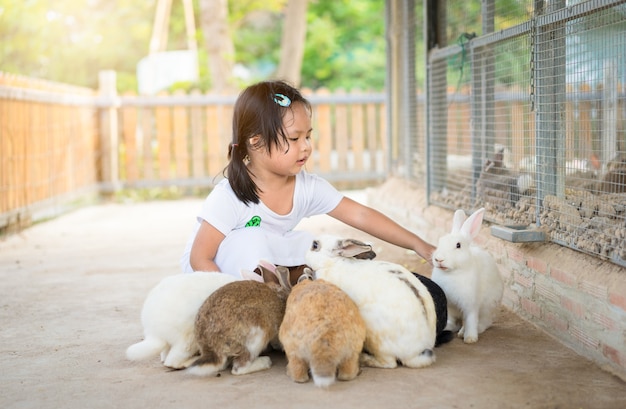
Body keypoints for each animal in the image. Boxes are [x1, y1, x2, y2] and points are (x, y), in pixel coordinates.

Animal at [304, 234, 436, 368]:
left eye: (315, 245)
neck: (333, 262)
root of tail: (417, 352)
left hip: (374, 338)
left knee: (389, 363)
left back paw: (363, 359)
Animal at [428, 206, 502, 342]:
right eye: (440, 241)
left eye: (458, 245)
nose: (439, 259)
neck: (452, 273)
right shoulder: (450, 306)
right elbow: (451, 320)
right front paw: (448, 327)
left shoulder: (470, 305)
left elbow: (471, 320)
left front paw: (470, 338)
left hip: (487, 307)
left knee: (485, 321)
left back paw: (469, 331)